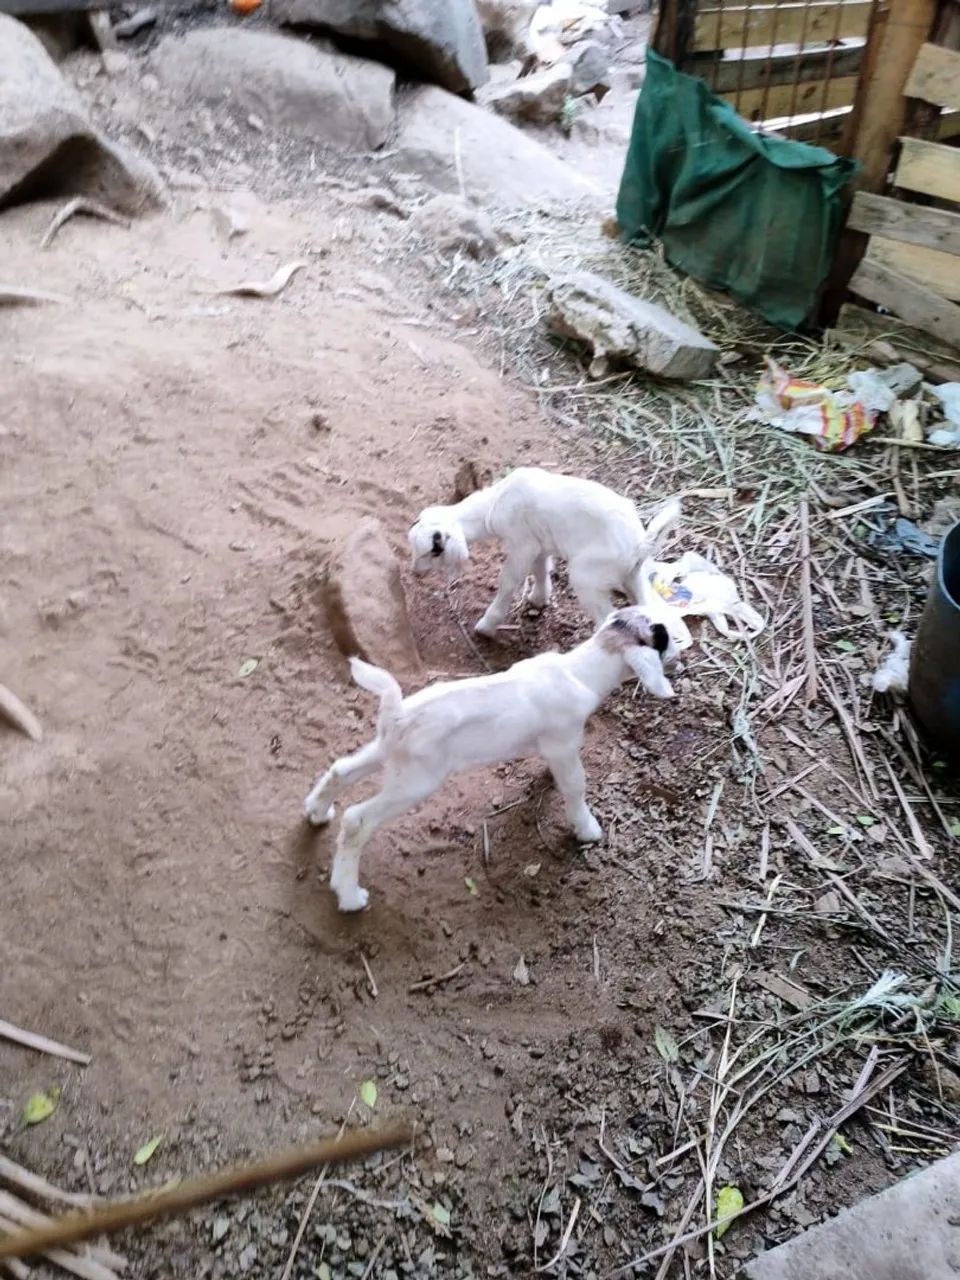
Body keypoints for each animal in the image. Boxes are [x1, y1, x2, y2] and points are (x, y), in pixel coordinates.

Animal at [304, 606, 678, 912]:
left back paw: (316, 813)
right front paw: (586, 829)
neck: (579, 671)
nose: (678, 646)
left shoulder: (553, 747)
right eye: (661, 635)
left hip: (388, 752)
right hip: (417, 780)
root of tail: (398, 713)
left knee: (340, 770)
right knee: (357, 819)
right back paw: (349, 895)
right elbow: (575, 785)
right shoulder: (564, 741)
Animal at [408, 466, 681, 636]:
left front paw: (487, 625)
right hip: (632, 575)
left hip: (587, 575)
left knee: (607, 617)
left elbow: (509, 580)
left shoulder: (521, 543)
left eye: (434, 551)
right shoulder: (539, 544)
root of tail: (639, 545)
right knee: (645, 606)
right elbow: (540, 570)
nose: (415, 573)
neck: (492, 506)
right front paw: (538, 599)